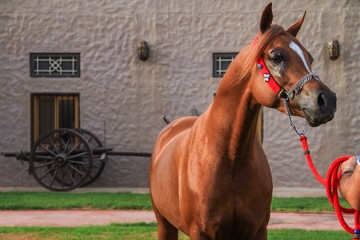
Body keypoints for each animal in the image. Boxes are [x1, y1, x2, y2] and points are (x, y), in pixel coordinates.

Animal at [149, 2, 338, 239]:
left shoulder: (258, 230)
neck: (230, 157)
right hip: (164, 224)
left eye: (310, 57)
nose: (327, 100)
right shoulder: (199, 232)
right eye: (276, 56)